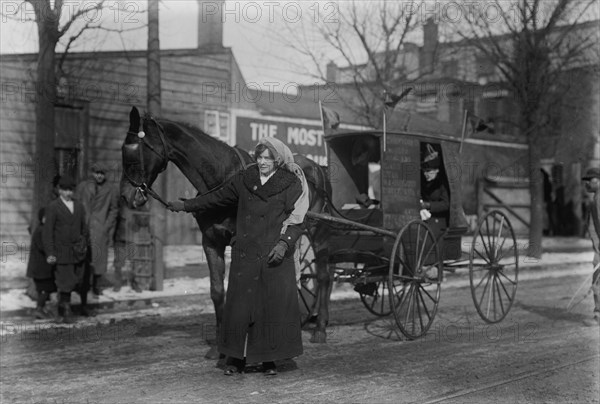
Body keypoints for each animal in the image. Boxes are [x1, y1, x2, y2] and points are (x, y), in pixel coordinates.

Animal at [119, 105, 336, 356]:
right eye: (123, 149)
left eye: (137, 151)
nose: (126, 196)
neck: (222, 177)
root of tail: (319, 169)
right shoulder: (211, 241)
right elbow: (217, 291)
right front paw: (219, 346)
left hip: (319, 233)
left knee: (323, 276)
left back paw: (320, 328)